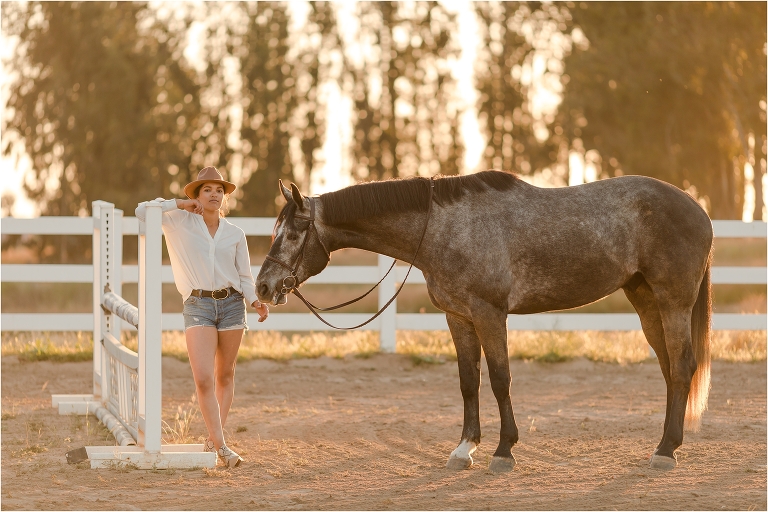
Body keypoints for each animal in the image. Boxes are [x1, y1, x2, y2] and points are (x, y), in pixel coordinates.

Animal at [255, 170, 713, 473]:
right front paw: (465, 449)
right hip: (646, 302)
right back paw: (667, 444)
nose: (263, 286)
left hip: (673, 302)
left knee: (682, 366)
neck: (442, 228)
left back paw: (666, 450)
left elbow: (499, 378)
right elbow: (468, 381)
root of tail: (699, 209)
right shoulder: (458, 318)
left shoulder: (489, 314)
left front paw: (503, 450)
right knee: (671, 370)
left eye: (292, 233)